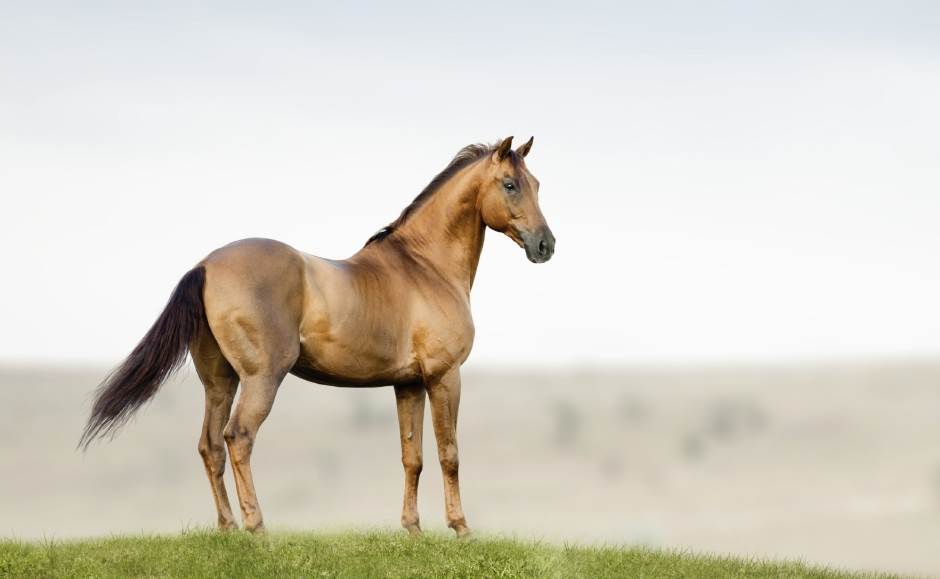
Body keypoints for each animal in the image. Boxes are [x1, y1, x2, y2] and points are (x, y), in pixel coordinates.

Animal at [81, 136, 556, 540]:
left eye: (536, 184)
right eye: (510, 184)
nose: (546, 245)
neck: (424, 267)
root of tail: (206, 266)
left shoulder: (408, 384)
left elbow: (413, 457)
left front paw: (412, 529)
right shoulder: (444, 376)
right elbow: (449, 453)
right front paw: (460, 528)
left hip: (219, 382)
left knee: (211, 445)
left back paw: (228, 528)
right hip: (261, 379)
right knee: (238, 438)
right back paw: (257, 527)